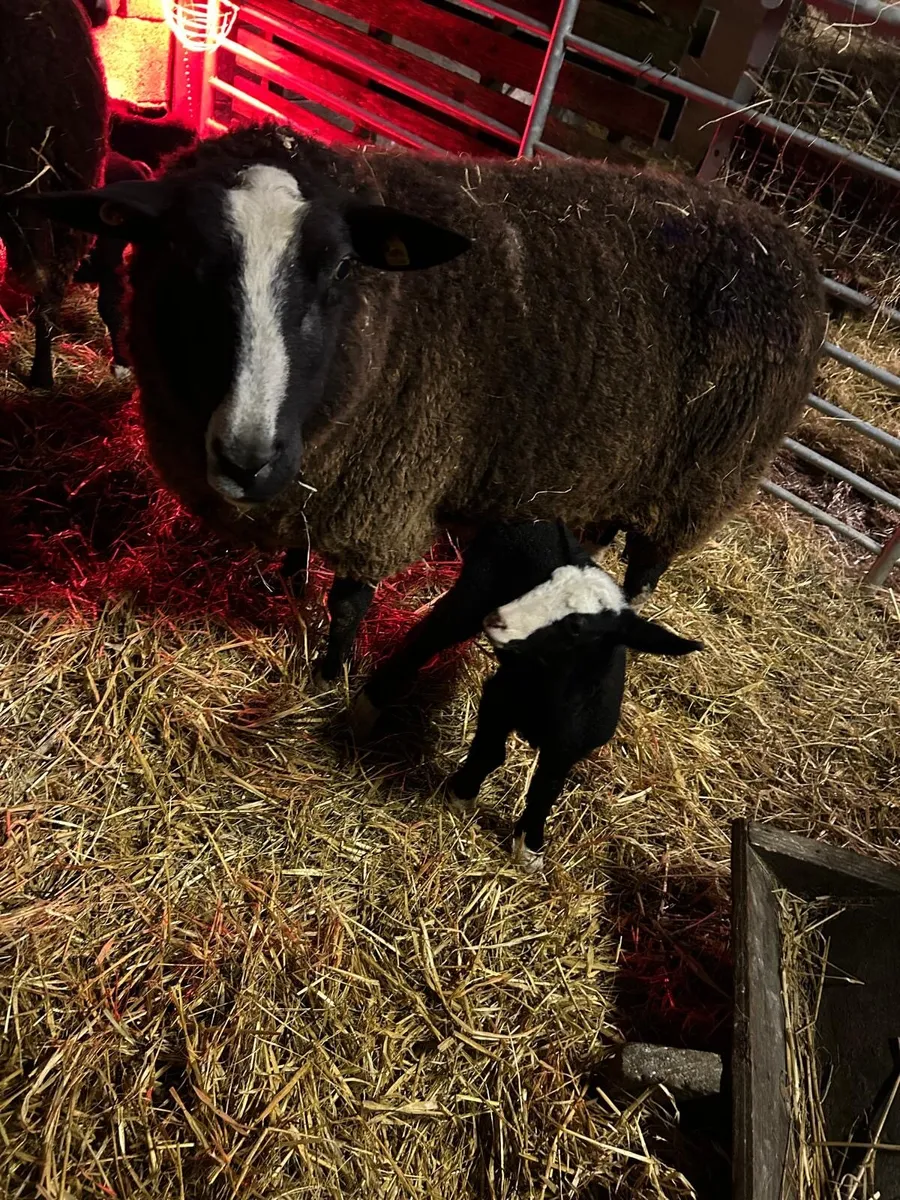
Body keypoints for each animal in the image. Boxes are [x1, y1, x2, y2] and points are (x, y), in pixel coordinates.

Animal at [19, 122, 825, 667]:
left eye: (344, 268)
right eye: (179, 258)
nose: (248, 458)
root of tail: (783, 237)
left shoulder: (382, 489)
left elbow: (350, 600)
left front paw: (330, 672)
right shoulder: (318, 487)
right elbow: (298, 556)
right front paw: (287, 589)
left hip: (701, 475)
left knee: (652, 560)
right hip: (608, 458)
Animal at [355, 519, 702, 871]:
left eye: (576, 625)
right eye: (548, 579)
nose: (496, 620)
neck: (548, 695)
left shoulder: (569, 746)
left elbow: (547, 789)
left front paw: (530, 846)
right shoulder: (498, 699)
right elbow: (490, 753)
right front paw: (461, 794)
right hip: (472, 594)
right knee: (424, 641)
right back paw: (365, 710)